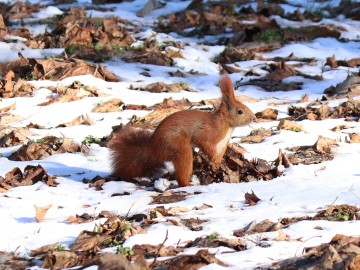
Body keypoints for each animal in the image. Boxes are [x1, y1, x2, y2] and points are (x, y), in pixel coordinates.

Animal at [109, 74, 256, 188]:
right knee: (183, 167)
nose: (254, 118)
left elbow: (217, 158)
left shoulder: (222, 145)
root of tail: (153, 149)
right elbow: (205, 144)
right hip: (178, 146)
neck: (226, 126)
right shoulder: (206, 134)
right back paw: (187, 183)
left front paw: (216, 167)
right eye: (240, 111)